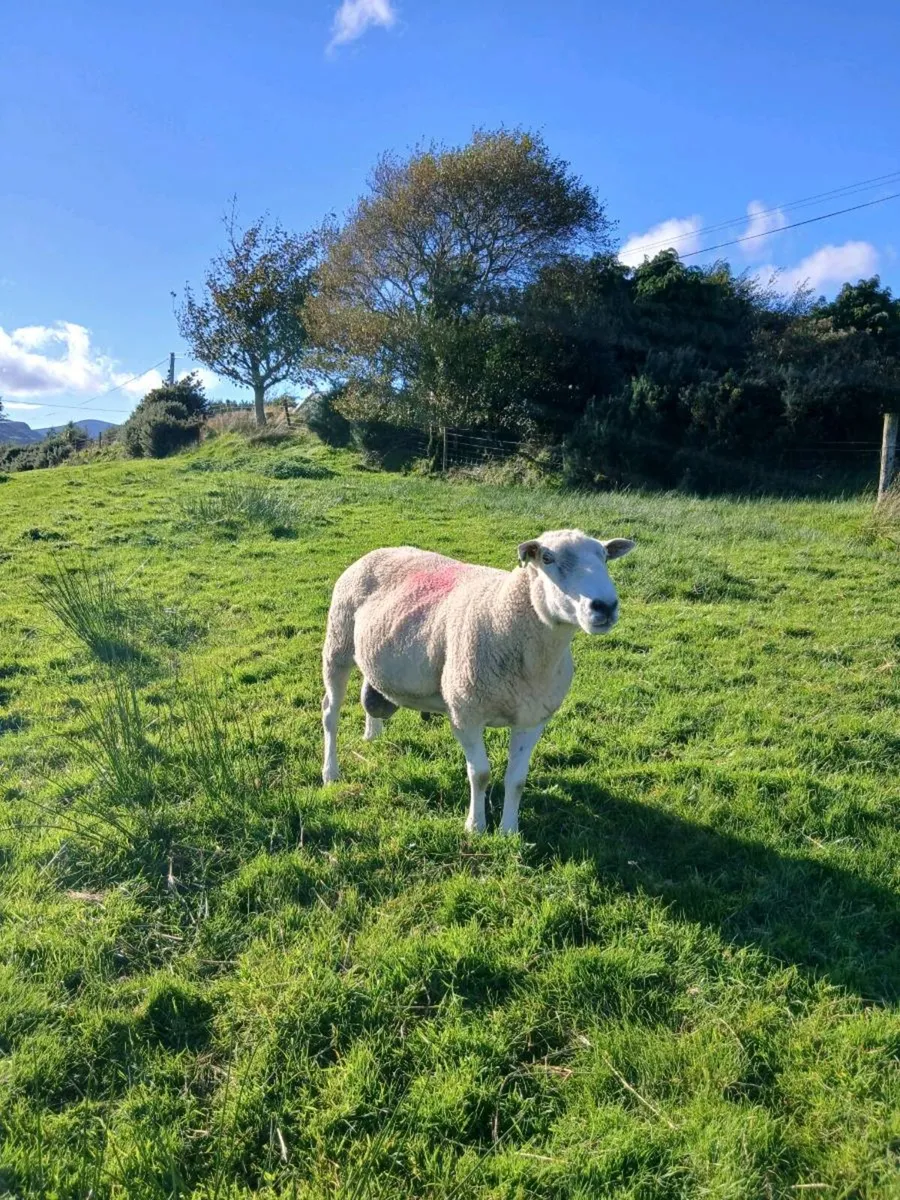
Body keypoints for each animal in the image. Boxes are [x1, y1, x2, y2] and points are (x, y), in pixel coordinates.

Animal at [321, 529, 635, 834]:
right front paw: (475, 827)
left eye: (605, 556)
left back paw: (372, 733)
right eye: (547, 558)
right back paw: (330, 772)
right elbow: (480, 774)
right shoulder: (465, 713)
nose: (606, 606)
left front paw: (509, 830)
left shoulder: (532, 718)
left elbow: (517, 779)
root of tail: (380, 550)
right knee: (330, 713)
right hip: (338, 645)